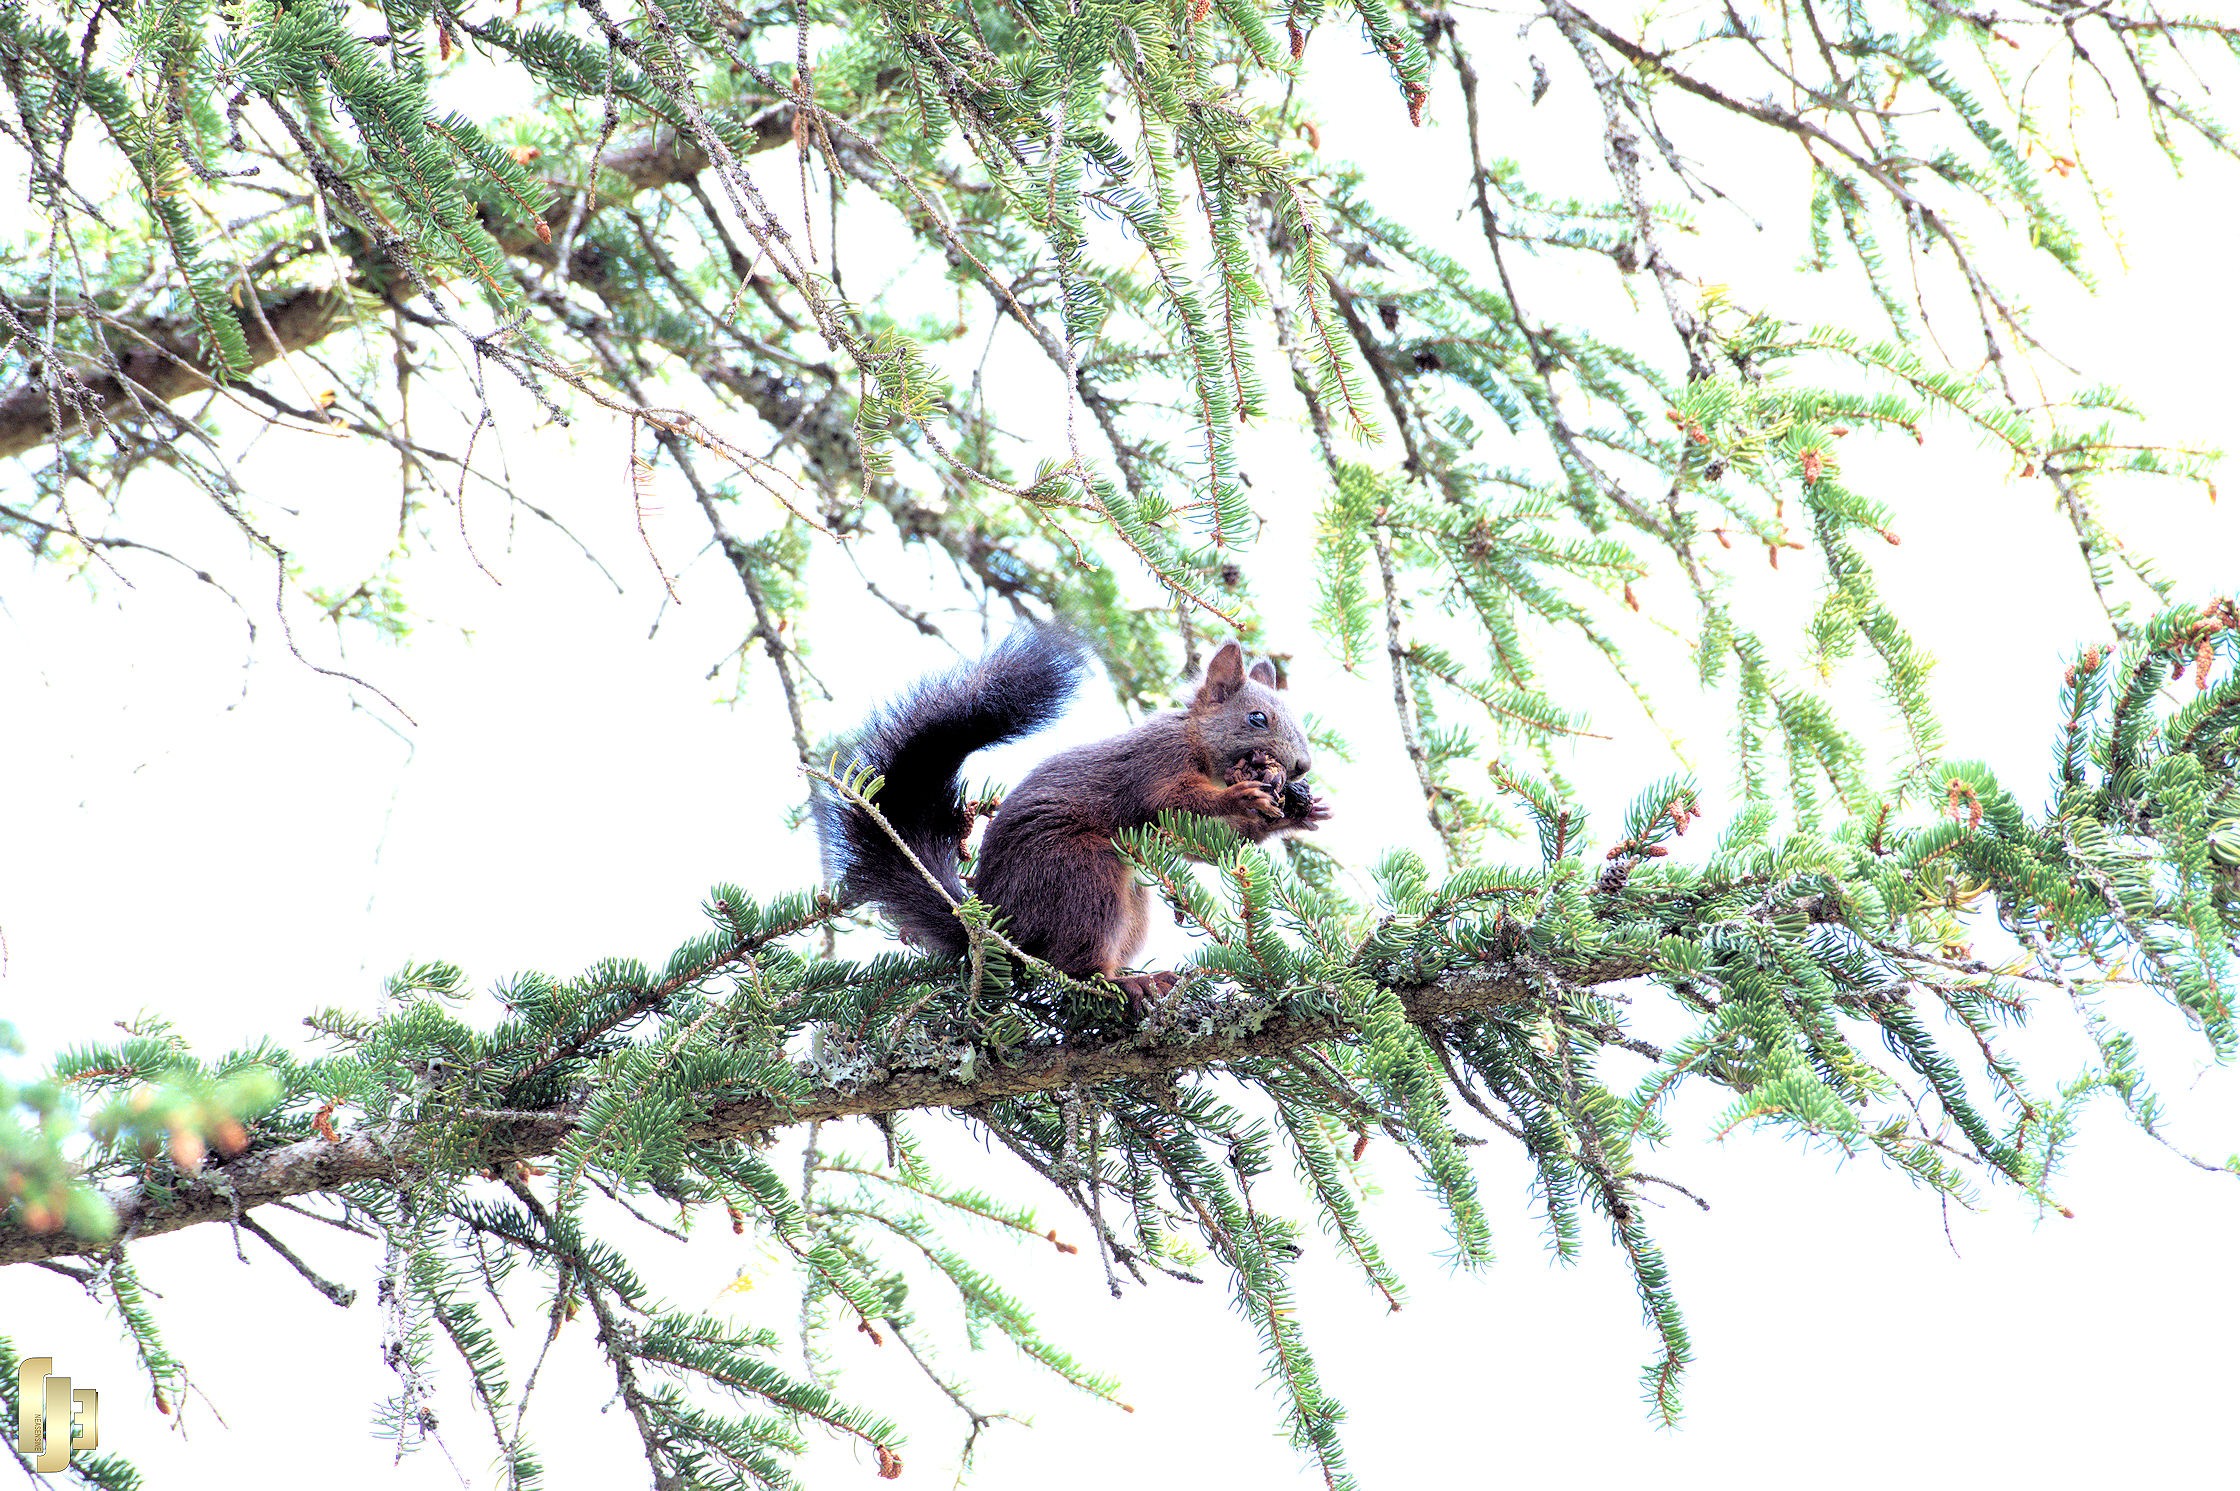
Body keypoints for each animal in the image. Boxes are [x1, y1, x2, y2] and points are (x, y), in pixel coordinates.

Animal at [815, 613, 1317, 1011]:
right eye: (1257, 718)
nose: (1302, 767)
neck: (1199, 746)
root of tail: (999, 920)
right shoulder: (1155, 764)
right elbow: (1170, 805)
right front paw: (1244, 798)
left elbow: (1211, 844)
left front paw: (1299, 810)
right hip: (1081, 872)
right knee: (1072, 965)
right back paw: (1128, 984)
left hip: (1130, 898)